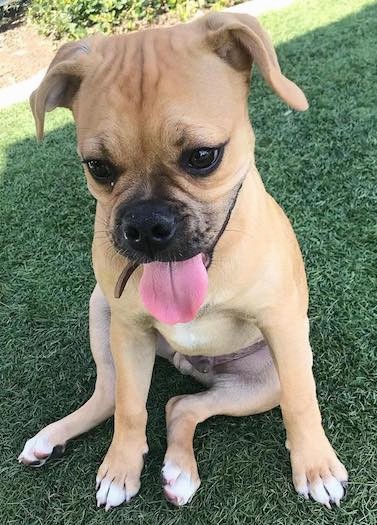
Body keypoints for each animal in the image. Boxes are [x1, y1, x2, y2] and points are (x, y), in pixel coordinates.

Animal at [17, 12, 346, 508]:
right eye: (98, 167)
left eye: (203, 156)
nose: (146, 226)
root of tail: (189, 364)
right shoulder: (128, 331)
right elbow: (131, 409)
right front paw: (120, 468)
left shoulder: (284, 331)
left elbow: (302, 400)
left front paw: (316, 467)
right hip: (102, 313)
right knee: (114, 395)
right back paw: (51, 440)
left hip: (265, 379)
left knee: (182, 406)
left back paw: (179, 470)